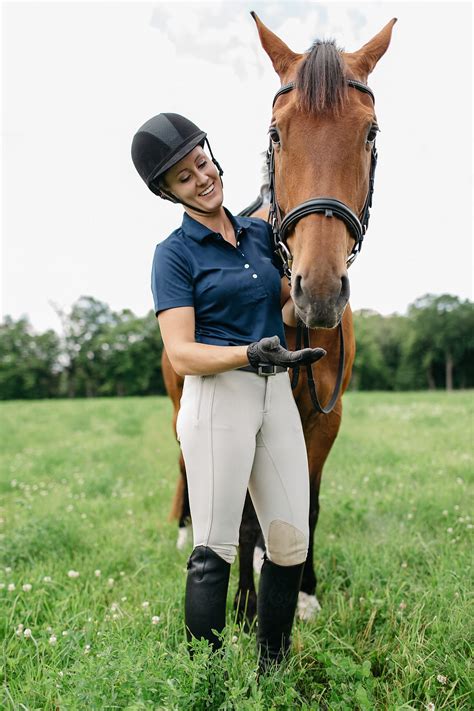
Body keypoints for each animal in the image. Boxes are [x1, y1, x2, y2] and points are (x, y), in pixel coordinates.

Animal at [163, 11, 396, 624]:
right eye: (276, 133)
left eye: (370, 134)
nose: (318, 290)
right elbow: (244, 516)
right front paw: (246, 604)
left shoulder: (323, 421)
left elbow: (305, 506)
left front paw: (305, 591)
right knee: (187, 463)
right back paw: (184, 528)